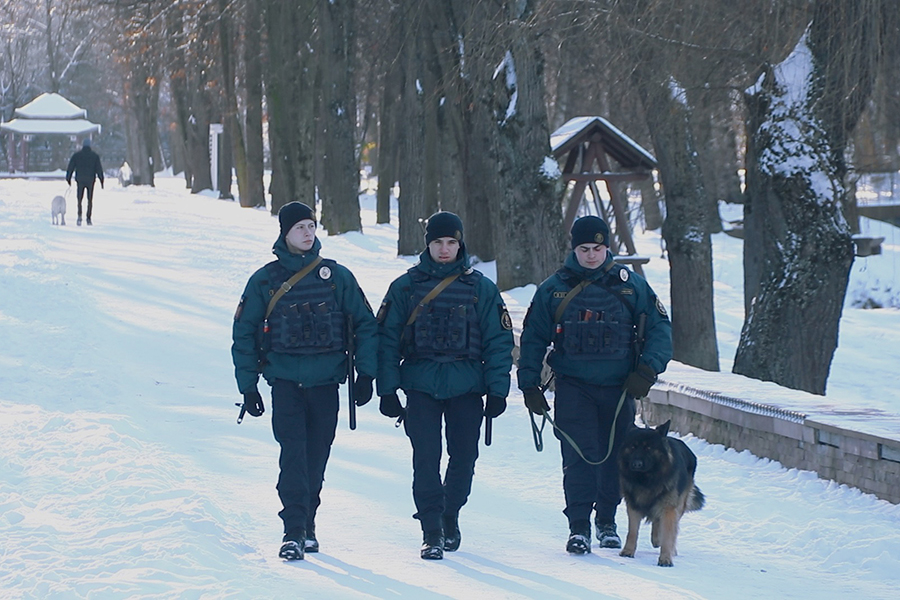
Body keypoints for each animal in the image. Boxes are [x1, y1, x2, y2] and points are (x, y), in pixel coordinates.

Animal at [620, 420, 704, 564]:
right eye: (633, 447)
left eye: (648, 448)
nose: (636, 464)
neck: (647, 479)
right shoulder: (633, 506)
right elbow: (632, 532)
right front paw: (628, 551)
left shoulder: (669, 508)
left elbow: (668, 535)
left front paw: (665, 558)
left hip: (678, 505)